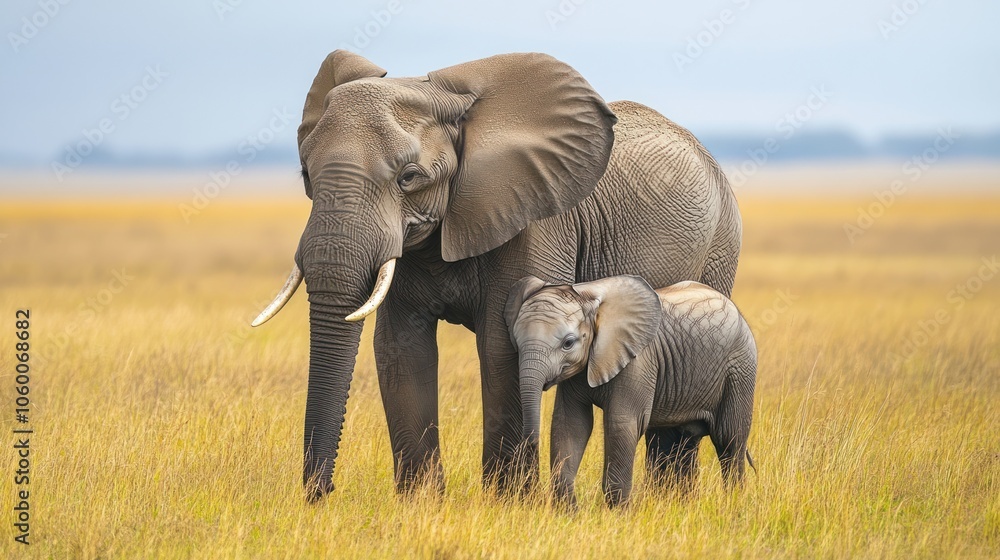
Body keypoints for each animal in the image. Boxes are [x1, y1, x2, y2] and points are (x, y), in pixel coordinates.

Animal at [505, 275, 757, 507]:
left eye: (568, 343)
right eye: (516, 341)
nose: (529, 444)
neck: (588, 297)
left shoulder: (639, 361)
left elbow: (621, 423)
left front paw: (618, 516)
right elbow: (571, 423)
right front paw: (569, 513)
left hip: (740, 369)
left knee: (729, 440)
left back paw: (734, 502)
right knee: (682, 440)